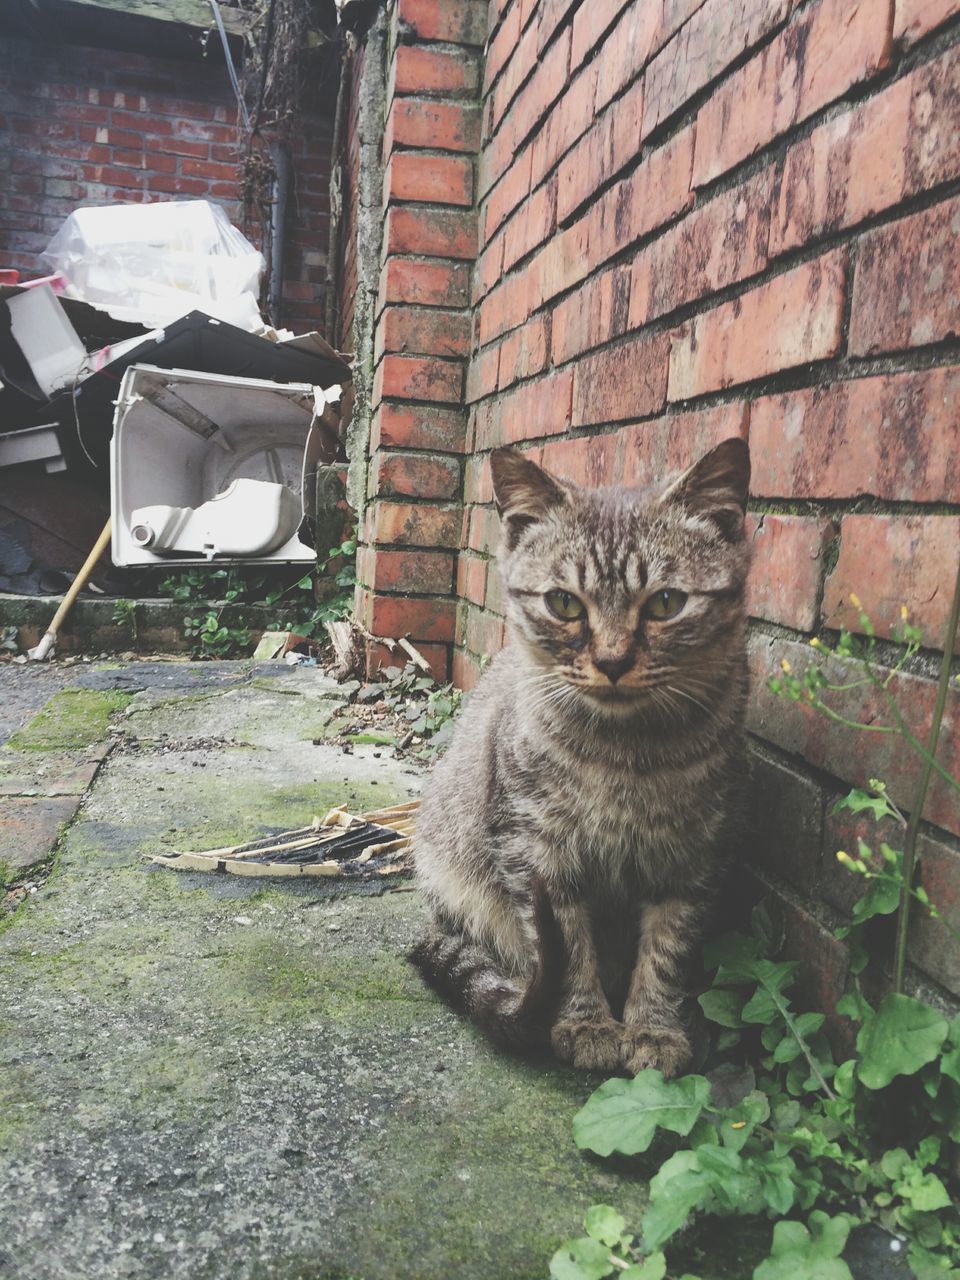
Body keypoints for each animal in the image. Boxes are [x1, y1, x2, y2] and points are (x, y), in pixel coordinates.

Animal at [409, 435, 757, 1075]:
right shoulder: (535, 852)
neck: (627, 756)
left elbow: (666, 949)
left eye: (666, 603)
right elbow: (568, 947)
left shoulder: (694, 855)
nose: (613, 661)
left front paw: (652, 1029)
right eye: (564, 604)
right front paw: (586, 1023)